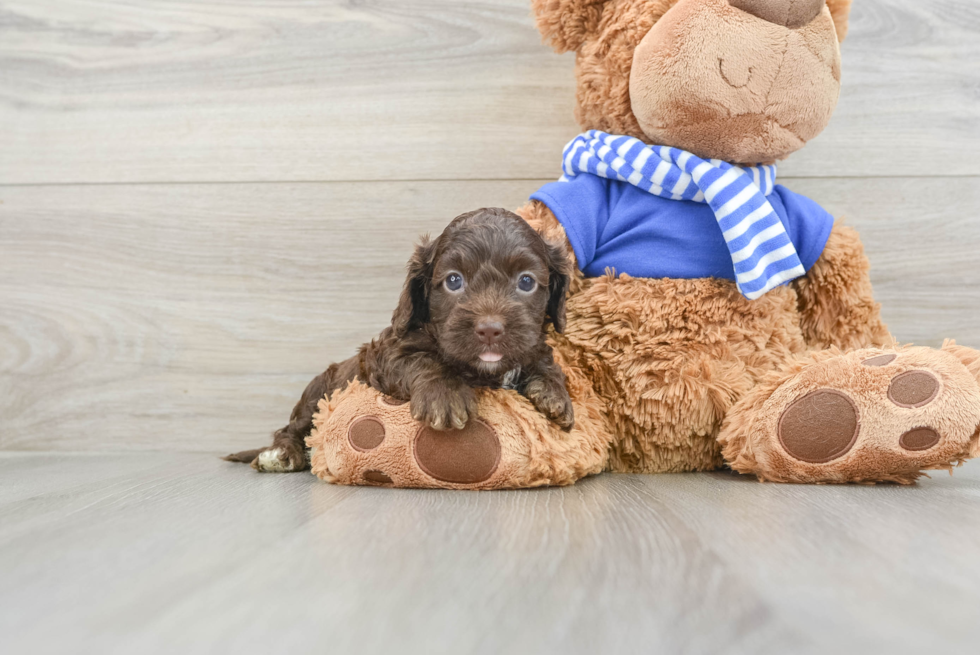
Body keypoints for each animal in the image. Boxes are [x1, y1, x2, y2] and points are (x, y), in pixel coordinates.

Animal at [229, 209, 576, 472]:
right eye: (453, 280)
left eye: (526, 282)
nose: (490, 329)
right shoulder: (386, 354)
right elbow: (422, 360)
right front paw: (445, 395)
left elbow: (542, 357)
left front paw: (555, 394)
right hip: (316, 394)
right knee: (292, 428)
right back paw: (280, 455)